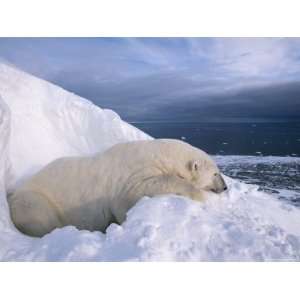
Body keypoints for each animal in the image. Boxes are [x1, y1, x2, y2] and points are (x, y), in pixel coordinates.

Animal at [8, 139, 226, 238]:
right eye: (215, 173)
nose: (225, 187)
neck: (161, 154)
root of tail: (12, 194)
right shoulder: (132, 174)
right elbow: (136, 193)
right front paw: (199, 195)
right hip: (34, 200)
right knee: (41, 218)